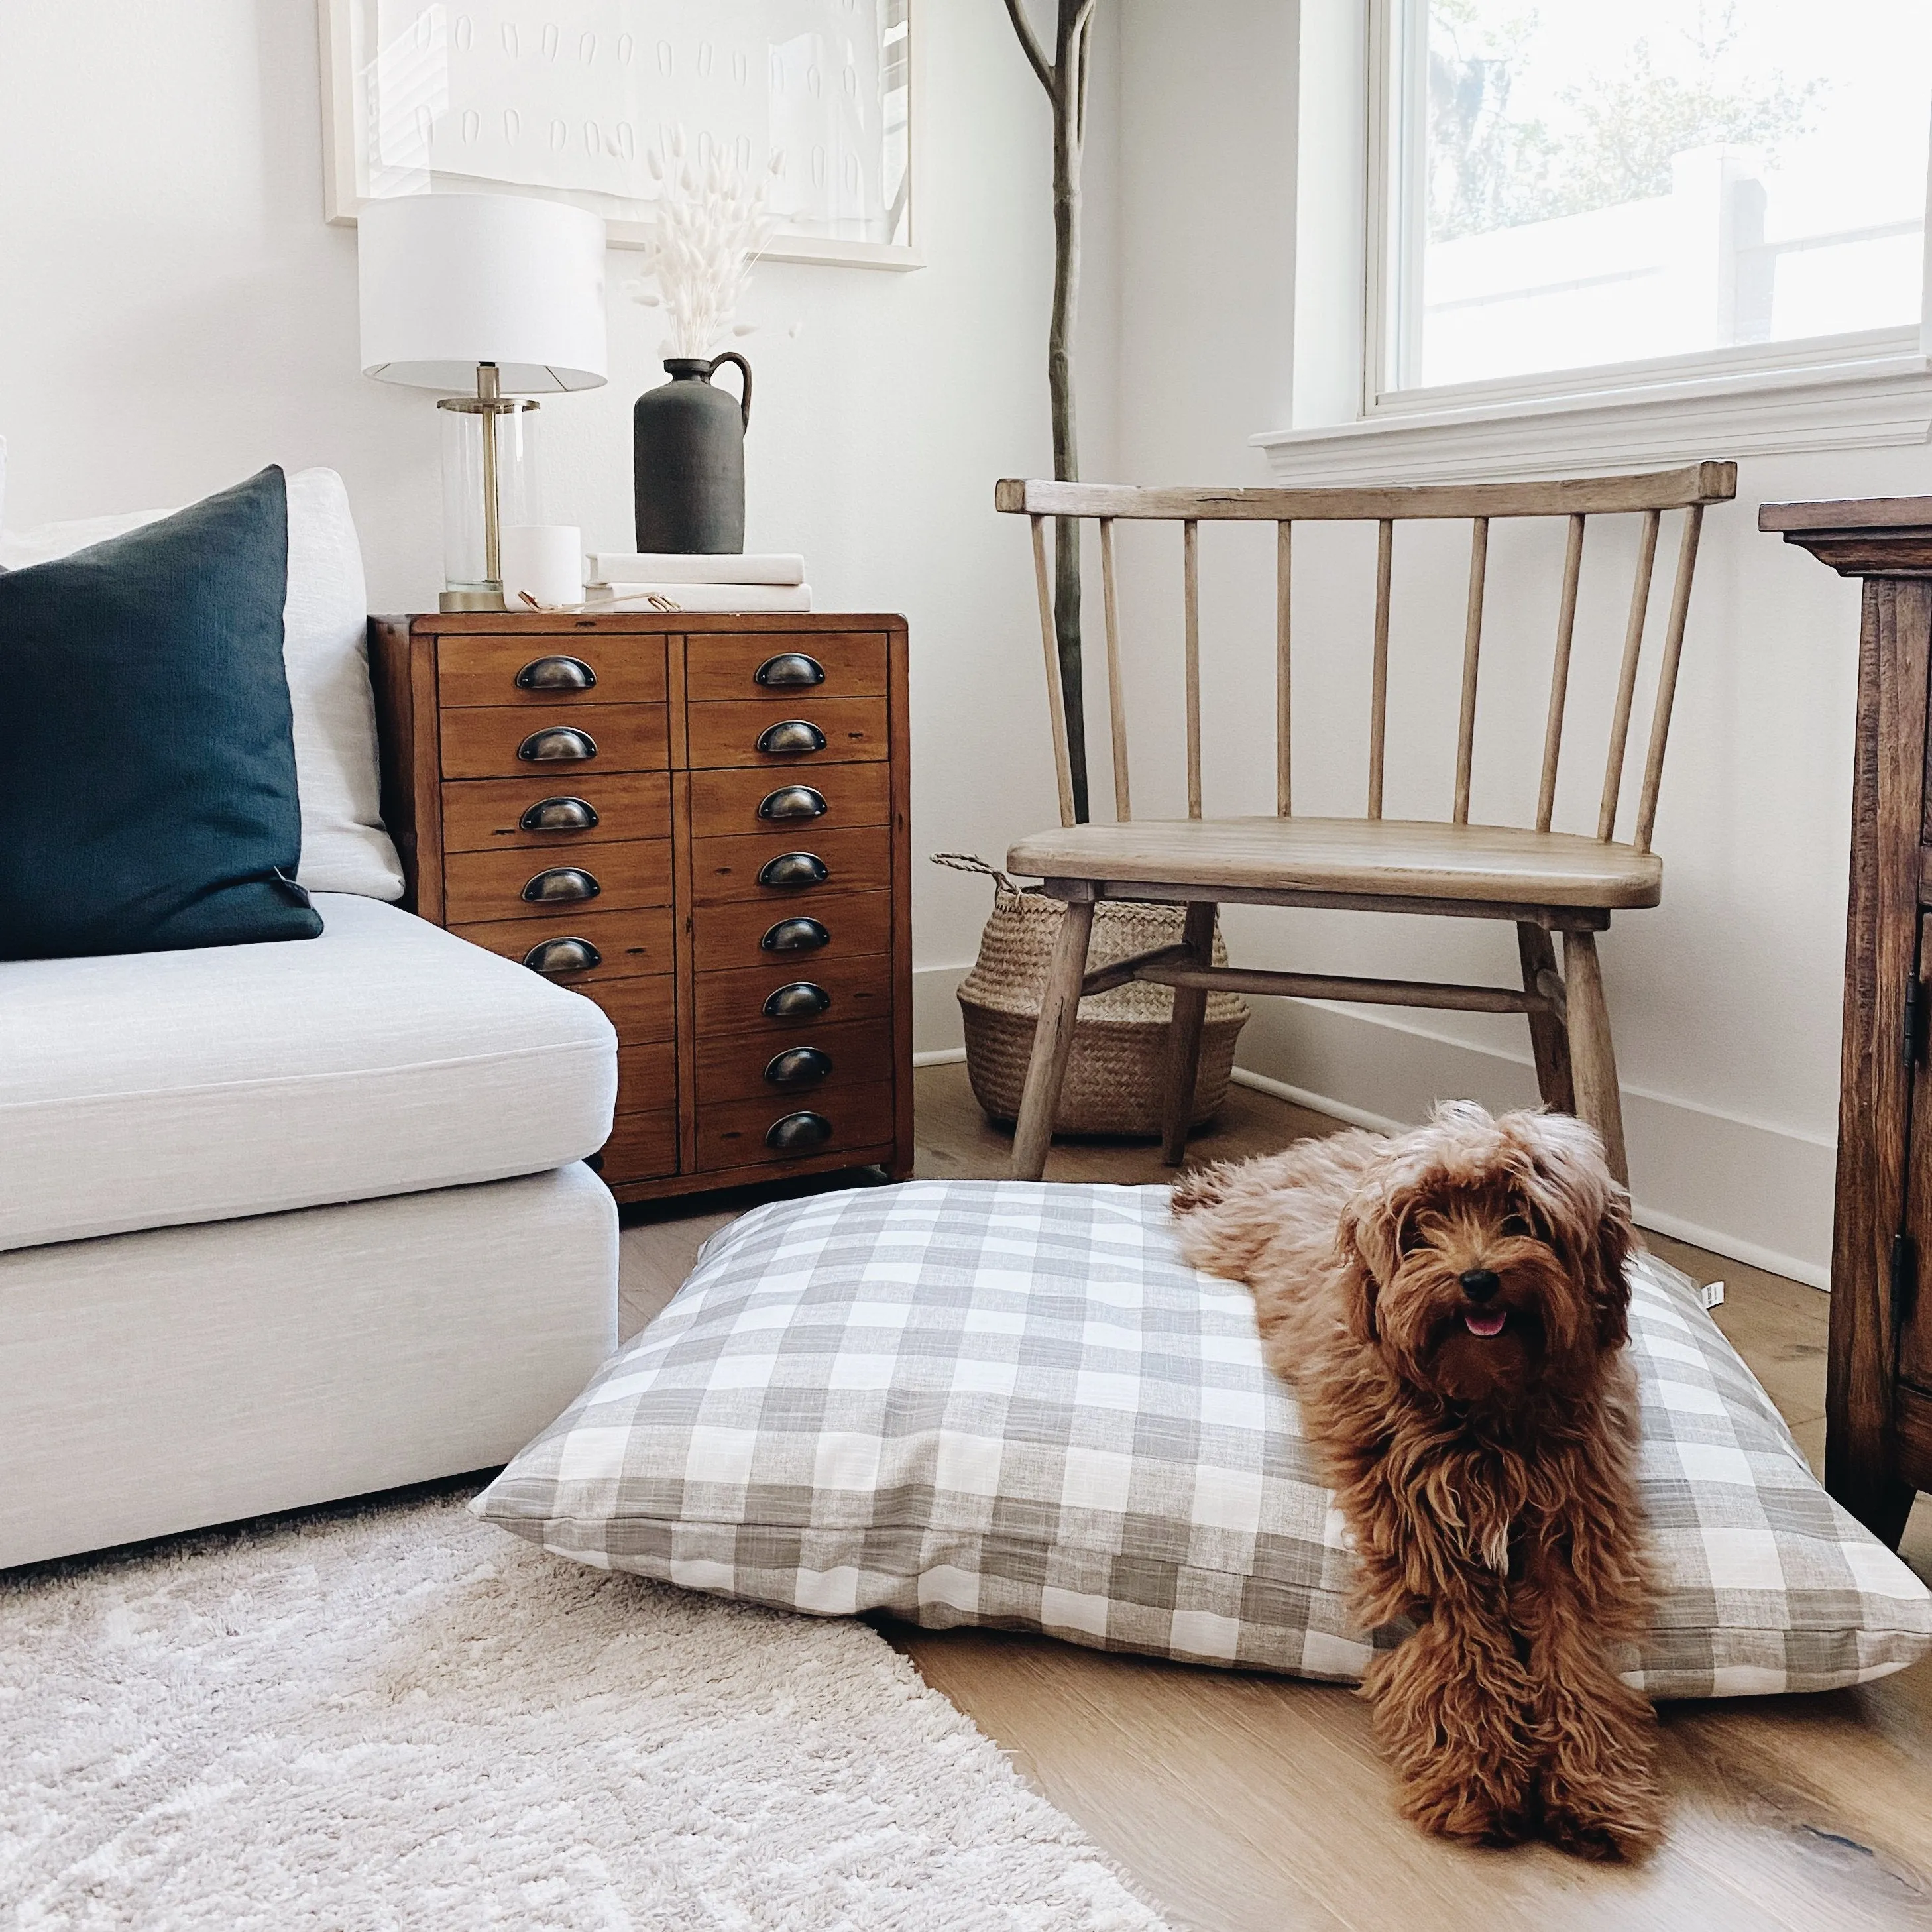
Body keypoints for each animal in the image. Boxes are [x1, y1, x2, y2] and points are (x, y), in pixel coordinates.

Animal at [1166, 1105, 1669, 1854]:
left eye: (1522, 1215)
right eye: (1420, 1226)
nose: (1478, 1279)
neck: (1487, 1408)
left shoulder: (1572, 1525)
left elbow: (1569, 1648)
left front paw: (1590, 1788)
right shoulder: (1423, 1524)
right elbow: (1464, 1642)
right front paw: (1476, 1774)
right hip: (1232, 1233)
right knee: (1233, 1190)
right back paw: (1197, 1185)